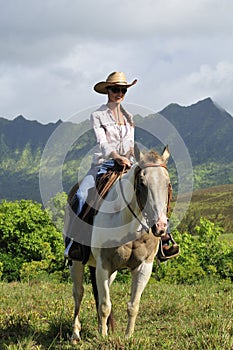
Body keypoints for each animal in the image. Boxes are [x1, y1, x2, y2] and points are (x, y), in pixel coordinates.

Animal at [65, 144, 171, 342]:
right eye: (142, 183)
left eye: (168, 183)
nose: (160, 226)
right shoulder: (103, 264)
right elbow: (105, 305)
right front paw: (103, 337)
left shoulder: (144, 266)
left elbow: (133, 305)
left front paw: (127, 336)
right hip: (76, 262)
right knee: (79, 293)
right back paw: (76, 334)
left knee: (97, 293)